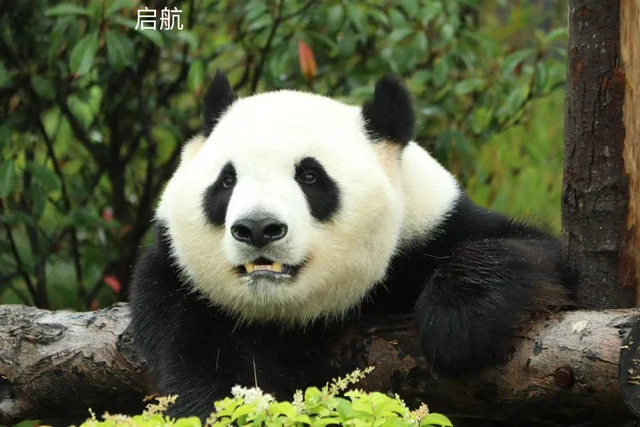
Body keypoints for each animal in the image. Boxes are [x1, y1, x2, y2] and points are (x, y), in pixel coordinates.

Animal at [129, 70, 575, 420]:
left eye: (310, 176)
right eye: (226, 181)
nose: (258, 228)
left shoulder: (430, 229)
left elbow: (535, 255)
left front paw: (458, 324)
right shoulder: (183, 285)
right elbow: (204, 361)